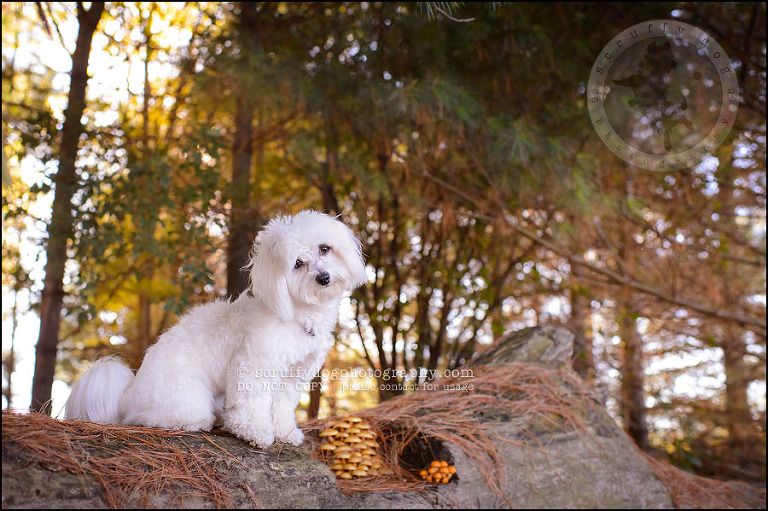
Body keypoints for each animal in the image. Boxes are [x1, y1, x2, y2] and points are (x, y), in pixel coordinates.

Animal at [65, 209, 366, 448]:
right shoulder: (253, 365)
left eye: (324, 248)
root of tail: (126, 395)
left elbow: (281, 405)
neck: (297, 312)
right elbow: (252, 403)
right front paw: (257, 433)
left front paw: (285, 432)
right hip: (186, 398)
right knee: (150, 417)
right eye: (298, 264)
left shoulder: (293, 374)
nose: (323, 277)